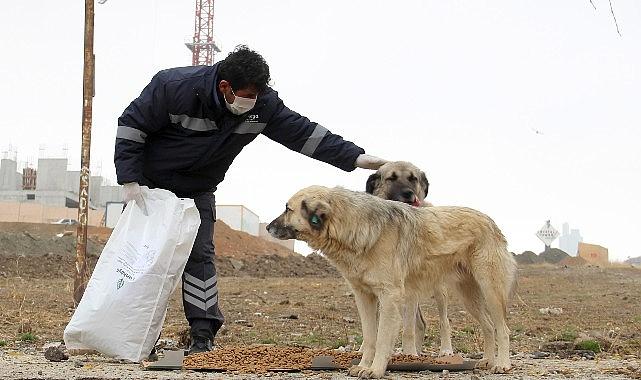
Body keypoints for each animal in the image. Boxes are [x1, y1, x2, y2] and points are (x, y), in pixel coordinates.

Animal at [268, 186, 516, 378]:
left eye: (288, 209)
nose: (269, 227)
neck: (352, 224)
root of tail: (490, 221)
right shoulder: (364, 297)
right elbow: (370, 338)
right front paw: (363, 366)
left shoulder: (389, 297)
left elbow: (382, 338)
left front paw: (376, 370)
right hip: (468, 295)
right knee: (488, 326)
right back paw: (487, 360)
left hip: (489, 289)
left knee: (502, 328)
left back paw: (502, 364)